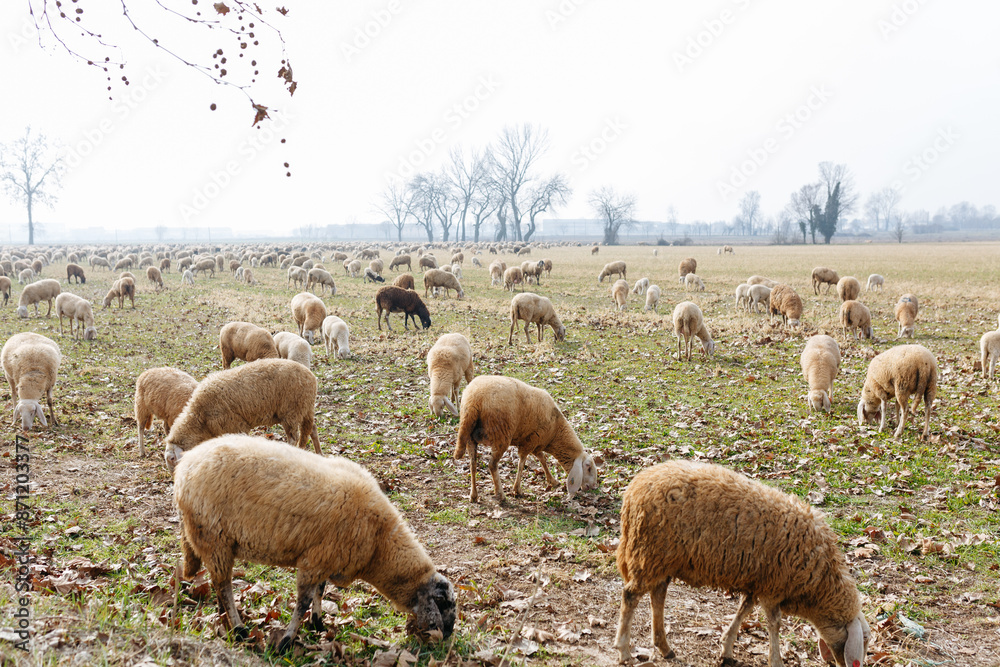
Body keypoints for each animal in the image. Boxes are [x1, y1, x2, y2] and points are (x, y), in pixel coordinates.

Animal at [163, 358, 322, 468]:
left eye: (172, 459)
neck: (200, 418)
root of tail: (312, 377)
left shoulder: (236, 425)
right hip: (306, 408)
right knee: (312, 429)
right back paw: (319, 453)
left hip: (291, 411)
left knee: (295, 437)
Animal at [173, 435, 456, 653]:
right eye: (442, 603)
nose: (449, 635)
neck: (380, 544)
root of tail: (184, 466)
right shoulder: (314, 561)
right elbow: (302, 603)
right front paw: (286, 641)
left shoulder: (326, 558)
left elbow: (320, 590)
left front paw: (318, 623)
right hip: (214, 537)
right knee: (224, 586)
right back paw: (239, 627)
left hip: (215, 542)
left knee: (218, 583)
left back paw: (225, 618)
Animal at [453, 375, 598, 503]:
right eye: (588, 467)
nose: (593, 487)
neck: (556, 432)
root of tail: (473, 401)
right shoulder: (531, 440)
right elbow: (522, 463)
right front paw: (517, 489)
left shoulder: (536, 443)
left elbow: (542, 459)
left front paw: (552, 480)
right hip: (501, 434)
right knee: (492, 464)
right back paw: (501, 494)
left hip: (470, 437)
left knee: (473, 464)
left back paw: (473, 496)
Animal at [613, 460, 869, 667]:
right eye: (863, 643)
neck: (819, 583)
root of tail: (633, 490)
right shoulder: (773, 587)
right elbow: (774, 624)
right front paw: (775, 660)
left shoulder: (757, 583)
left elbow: (743, 610)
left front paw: (726, 648)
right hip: (650, 552)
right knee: (630, 596)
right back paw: (624, 651)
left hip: (662, 558)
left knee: (657, 595)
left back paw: (664, 647)